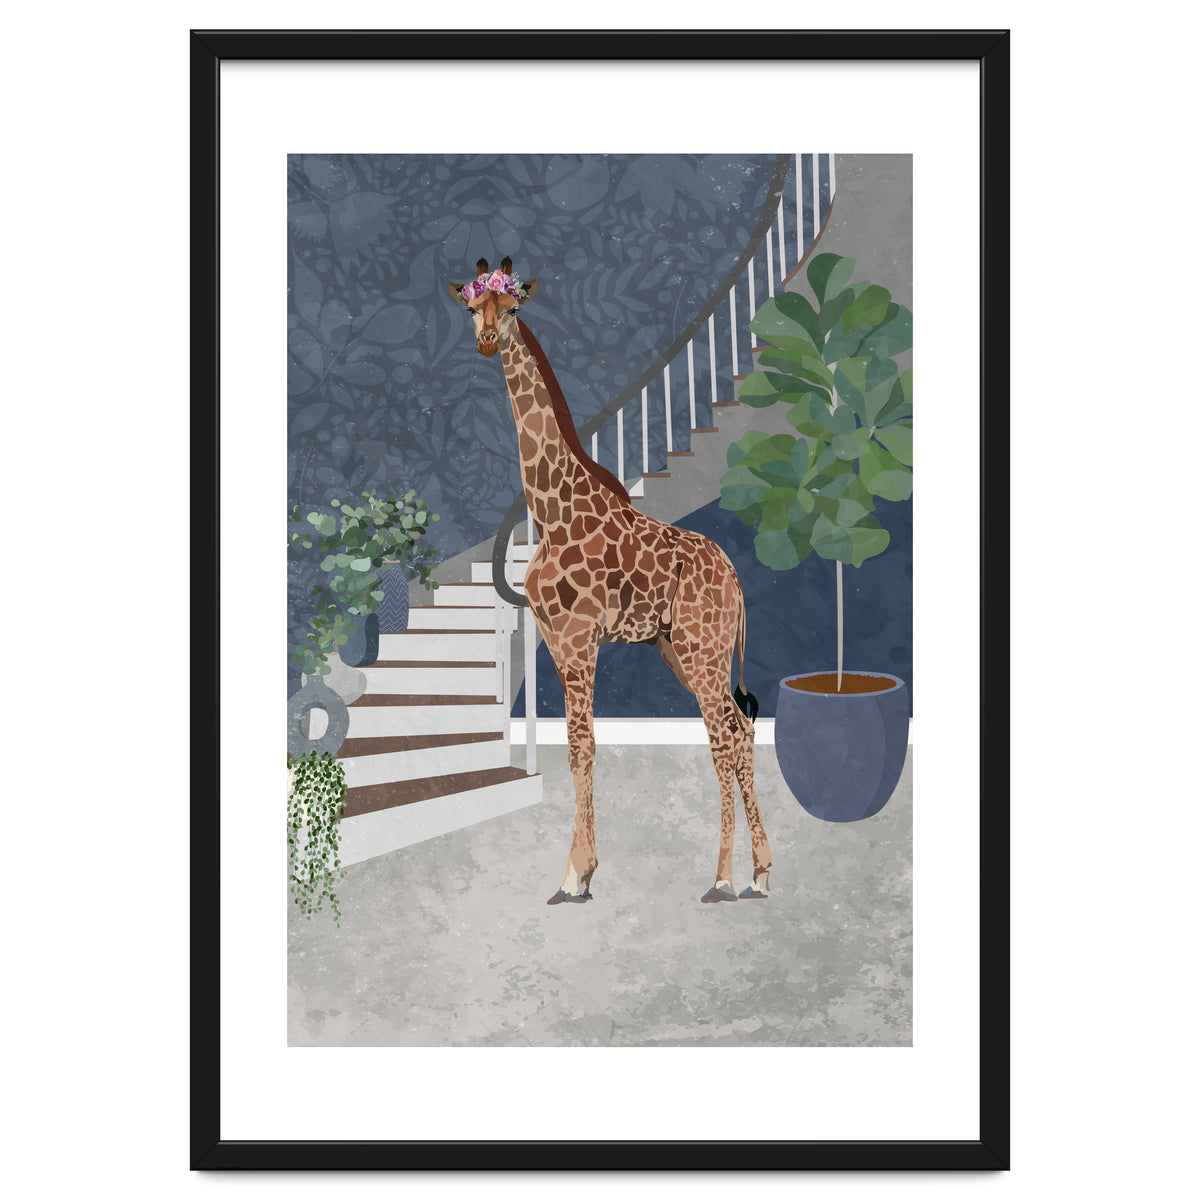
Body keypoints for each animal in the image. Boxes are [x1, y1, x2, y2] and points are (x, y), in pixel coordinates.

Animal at [451, 257, 772, 905]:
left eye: (513, 307)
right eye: (473, 307)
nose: (488, 340)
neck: (550, 511)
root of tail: (735, 578)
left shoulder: (579, 640)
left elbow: (584, 744)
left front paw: (576, 875)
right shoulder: (554, 640)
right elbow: (578, 748)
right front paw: (580, 871)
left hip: (703, 649)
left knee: (723, 738)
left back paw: (723, 878)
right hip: (683, 650)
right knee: (742, 729)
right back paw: (760, 873)